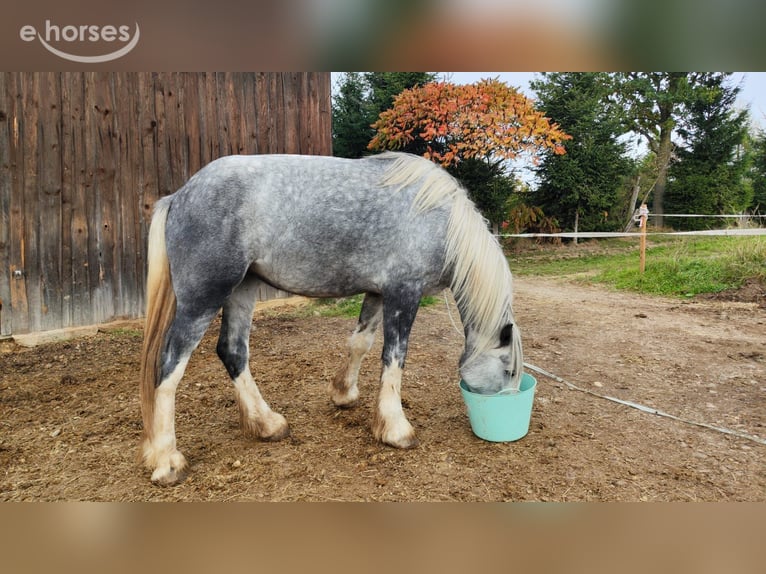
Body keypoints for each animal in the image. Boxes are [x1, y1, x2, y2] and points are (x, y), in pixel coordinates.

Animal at [139, 151, 523, 484]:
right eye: (508, 370)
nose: (506, 404)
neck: (440, 219)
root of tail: (179, 196)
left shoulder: (378, 293)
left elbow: (360, 343)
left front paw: (343, 393)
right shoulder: (404, 293)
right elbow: (394, 358)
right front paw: (396, 429)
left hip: (241, 289)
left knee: (232, 351)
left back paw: (267, 424)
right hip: (204, 297)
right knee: (170, 364)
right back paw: (167, 460)